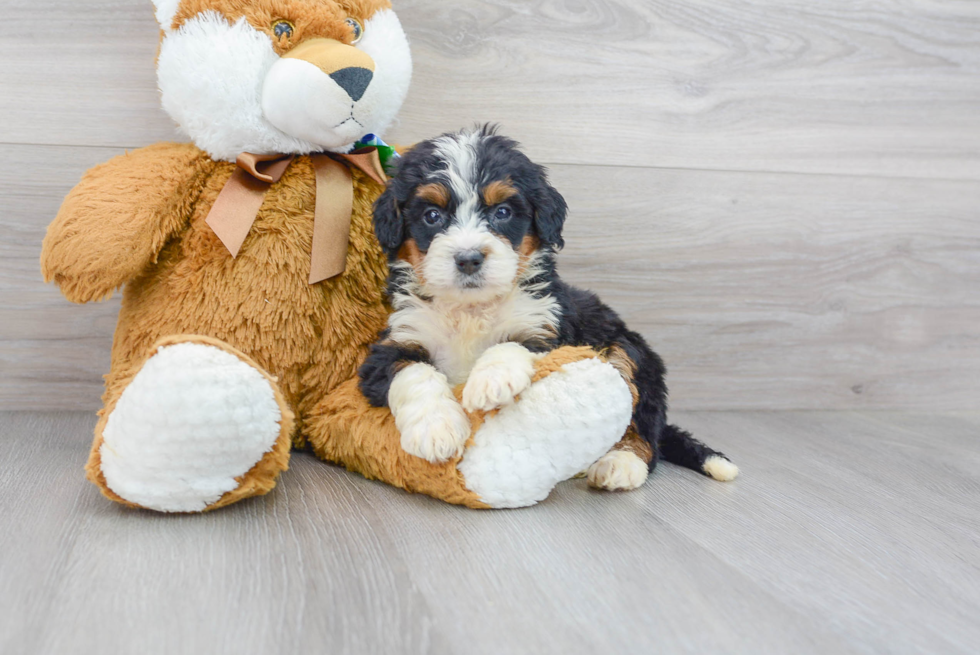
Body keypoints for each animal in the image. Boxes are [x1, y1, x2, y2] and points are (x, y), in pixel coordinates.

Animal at [358, 125, 736, 490]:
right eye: (432, 215)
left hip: (630, 352)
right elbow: (413, 372)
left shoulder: (547, 328)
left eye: (503, 212)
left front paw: (491, 380)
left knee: (645, 430)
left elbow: (513, 345)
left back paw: (620, 463)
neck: (471, 308)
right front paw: (436, 429)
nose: (468, 259)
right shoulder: (395, 341)